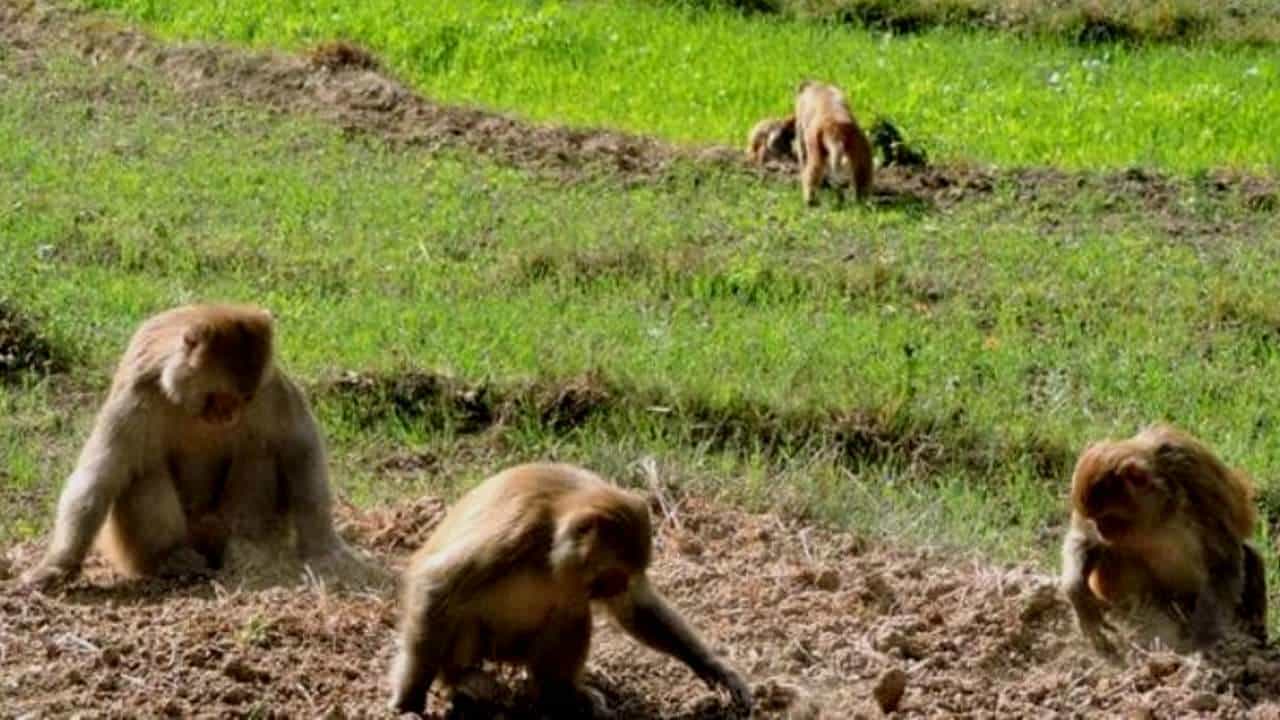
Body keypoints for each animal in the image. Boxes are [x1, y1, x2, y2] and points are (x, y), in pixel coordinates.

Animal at [20, 303, 374, 590]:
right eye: (221, 397)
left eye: (245, 398)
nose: (230, 415)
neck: (187, 403)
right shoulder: (137, 397)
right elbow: (100, 476)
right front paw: (55, 566)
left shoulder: (270, 388)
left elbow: (299, 448)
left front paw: (326, 548)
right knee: (143, 470)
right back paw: (171, 557)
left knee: (258, 452)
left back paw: (247, 547)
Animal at [388, 462, 753, 717]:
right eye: (613, 574)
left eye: (627, 577)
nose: (617, 586)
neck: (550, 546)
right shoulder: (513, 534)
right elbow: (435, 586)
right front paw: (410, 699)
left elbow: (635, 609)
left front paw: (717, 671)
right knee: (459, 613)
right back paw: (461, 679)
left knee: (571, 611)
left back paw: (558, 694)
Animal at [1060, 424, 1267, 656]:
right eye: (1094, 519)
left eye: (1107, 518)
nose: (1101, 530)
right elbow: (1084, 540)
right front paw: (1078, 595)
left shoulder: (1198, 481)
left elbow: (1223, 562)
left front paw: (1204, 637)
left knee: (1250, 557)